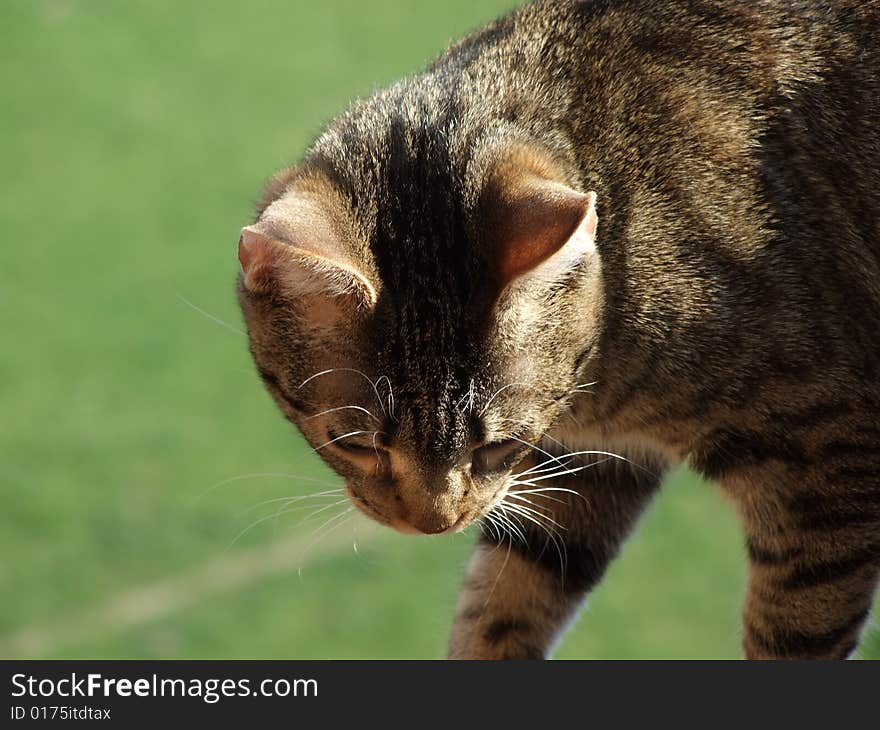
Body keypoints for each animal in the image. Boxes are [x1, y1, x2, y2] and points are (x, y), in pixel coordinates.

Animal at [235, 0, 880, 656]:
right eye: (358, 444)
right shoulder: (585, 467)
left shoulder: (827, 462)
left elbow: (793, 631)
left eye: (495, 445)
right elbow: (503, 603)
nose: (434, 524)